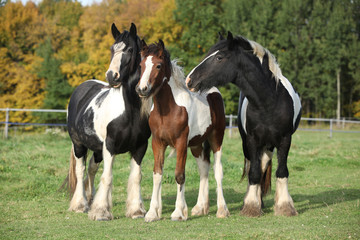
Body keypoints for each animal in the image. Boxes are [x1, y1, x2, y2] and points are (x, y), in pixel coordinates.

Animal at [65, 23, 150, 221]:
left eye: (130, 49)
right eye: (112, 49)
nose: (112, 76)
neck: (131, 112)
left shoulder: (140, 146)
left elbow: (136, 177)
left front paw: (136, 210)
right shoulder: (110, 146)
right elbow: (108, 176)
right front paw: (101, 212)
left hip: (97, 149)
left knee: (91, 169)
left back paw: (90, 200)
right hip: (79, 145)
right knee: (80, 171)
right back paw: (80, 205)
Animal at [136, 40, 229, 222]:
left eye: (158, 65)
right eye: (141, 65)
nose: (142, 89)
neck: (168, 109)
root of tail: (214, 91)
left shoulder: (180, 143)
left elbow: (179, 175)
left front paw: (179, 213)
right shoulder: (158, 143)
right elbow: (157, 174)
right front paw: (152, 213)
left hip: (216, 138)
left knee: (217, 170)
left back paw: (222, 210)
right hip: (197, 145)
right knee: (203, 169)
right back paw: (200, 208)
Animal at [186, 31, 300, 218]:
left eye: (219, 57)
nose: (190, 80)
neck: (270, 102)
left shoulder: (285, 140)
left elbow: (282, 171)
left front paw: (284, 206)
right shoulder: (252, 140)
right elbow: (253, 172)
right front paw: (252, 206)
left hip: (269, 145)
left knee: (264, 165)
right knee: (255, 168)